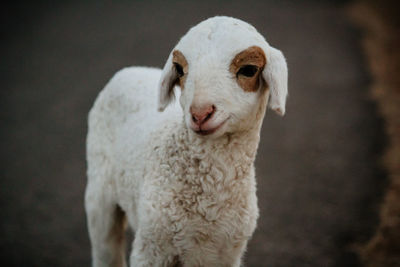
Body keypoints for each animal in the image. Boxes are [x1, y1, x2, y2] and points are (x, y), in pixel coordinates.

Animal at [85, 16, 288, 267]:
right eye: (180, 69)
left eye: (249, 69)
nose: (200, 114)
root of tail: (129, 70)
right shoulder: (151, 248)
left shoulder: (227, 253)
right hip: (99, 194)